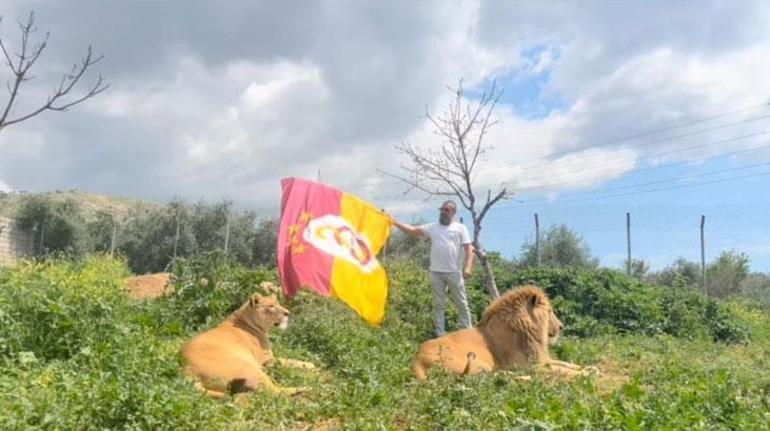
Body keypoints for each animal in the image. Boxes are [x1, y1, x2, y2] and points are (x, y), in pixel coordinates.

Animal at [180, 284, 316, 398]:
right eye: (271, 306)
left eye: (278, 303)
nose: (288, 313)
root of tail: (186, 371)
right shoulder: (267, 361)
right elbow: (290, 361)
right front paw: (313, 367)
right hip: (251, 367)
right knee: (275, 391)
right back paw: (305, 389)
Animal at [414, 284, 588, 382]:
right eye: (550, 311)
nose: (561, 327)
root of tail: (416, 360)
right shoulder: (530, 365)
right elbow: (563, 370)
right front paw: (586, 375)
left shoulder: (542, 360)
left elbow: (568, 364)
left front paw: (589, 368)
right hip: (478, 362)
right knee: (486, 378)